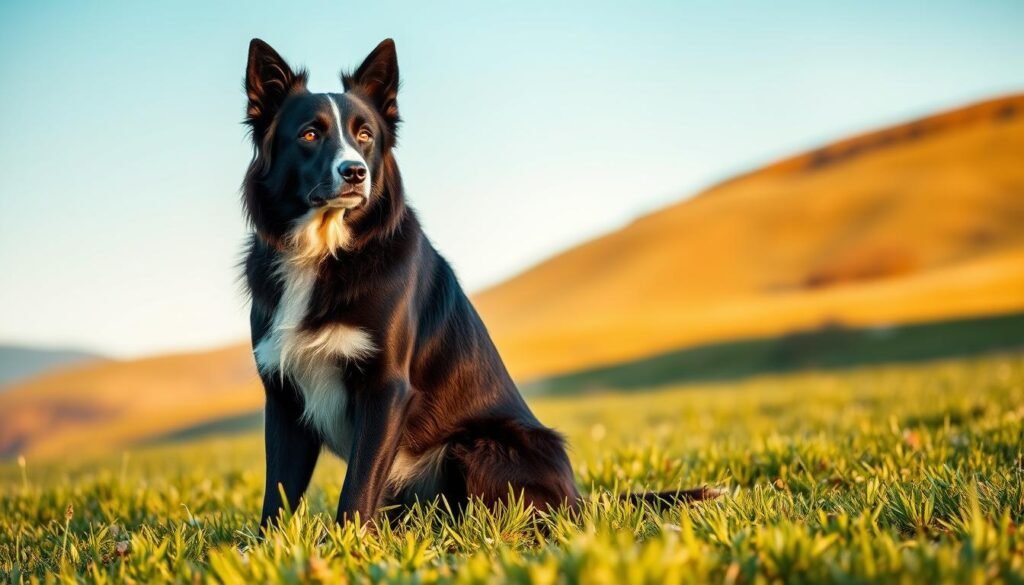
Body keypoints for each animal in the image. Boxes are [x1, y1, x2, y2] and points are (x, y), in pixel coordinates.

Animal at [243, 38, 716, 528]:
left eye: (365, 135)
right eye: (309, 135)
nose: (355, 172)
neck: (326, 250)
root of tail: (576, 497)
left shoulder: (386, 387)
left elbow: (357, 487)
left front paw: (348, 542)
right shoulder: (283, 393)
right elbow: (278, 493)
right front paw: (269, 545)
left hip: (477, 445)